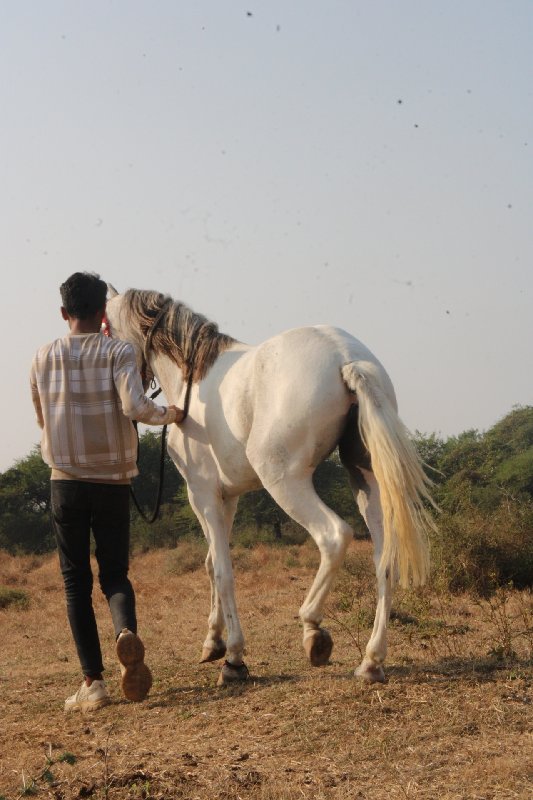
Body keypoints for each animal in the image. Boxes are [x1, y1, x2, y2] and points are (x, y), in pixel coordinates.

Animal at [106, 290, 434, 684]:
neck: (192, 381)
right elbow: (210, 562)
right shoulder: (226, 498)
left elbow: (222, 570)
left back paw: (312, 627)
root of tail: (346, 358)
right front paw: (213, 642)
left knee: (334, 536)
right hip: (365, 481)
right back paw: (371, 661)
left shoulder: (202, 495)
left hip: (284, 480)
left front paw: (233, 657)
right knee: (383, 559)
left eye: (107, 329)